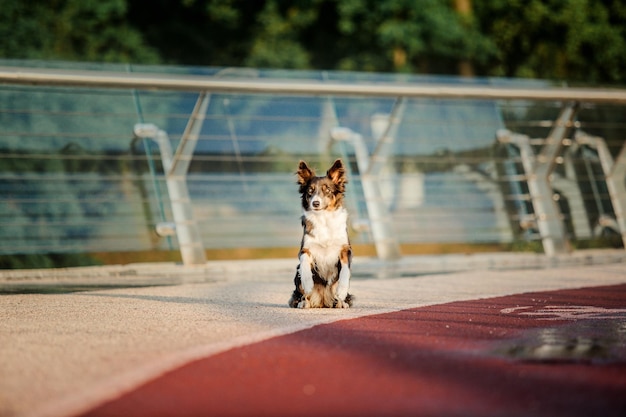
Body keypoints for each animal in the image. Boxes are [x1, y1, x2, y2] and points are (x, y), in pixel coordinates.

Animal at [288, 158, 352, 308]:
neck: (324, 219)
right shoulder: (305, 249)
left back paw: (341, 303)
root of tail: (322, 300)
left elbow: (345, 271)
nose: (315, 203)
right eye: (310, 191)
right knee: (303, 294)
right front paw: (307, 282)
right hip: (297, 275)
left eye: (327, 189)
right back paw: (303, 303)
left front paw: (342, 290)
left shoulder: (345, 249)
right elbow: (304, 262)